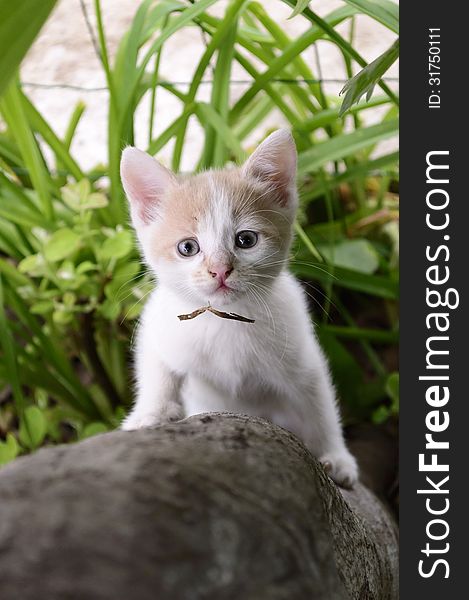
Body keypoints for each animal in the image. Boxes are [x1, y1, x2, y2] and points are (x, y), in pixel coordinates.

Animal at [120, 130, 358, 488]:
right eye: (187, 247)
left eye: (246, 240)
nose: (220, 270)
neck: (225, 320)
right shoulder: (158, 325)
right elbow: (157, 370)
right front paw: (148, 414)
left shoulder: (300, 353)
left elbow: (318, 405)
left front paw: (336, 456)